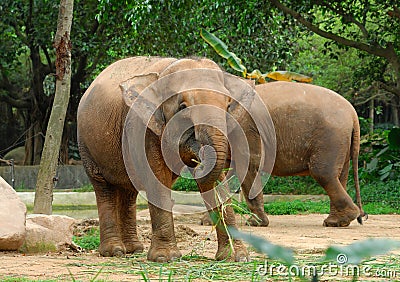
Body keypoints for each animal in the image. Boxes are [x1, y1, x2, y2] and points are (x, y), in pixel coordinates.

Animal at [77, 56, 274, 262]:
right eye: (183, 107)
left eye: (228, 106)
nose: (197, 160)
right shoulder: (144, 128)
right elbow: (157, 178)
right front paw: (166, 258)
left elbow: (216, 184)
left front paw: (236, 257)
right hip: (87, 146)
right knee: (104, 188)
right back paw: (114, 251)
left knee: (129, 191)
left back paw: (134, 249)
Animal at [236, 81, 368, 227]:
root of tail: (353, 115)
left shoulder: (246, 128)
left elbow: (248, 165)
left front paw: (254, 223)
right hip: (342, 142)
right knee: (340, 176)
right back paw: (336, 222)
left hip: (331, 139)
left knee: (323, 173)